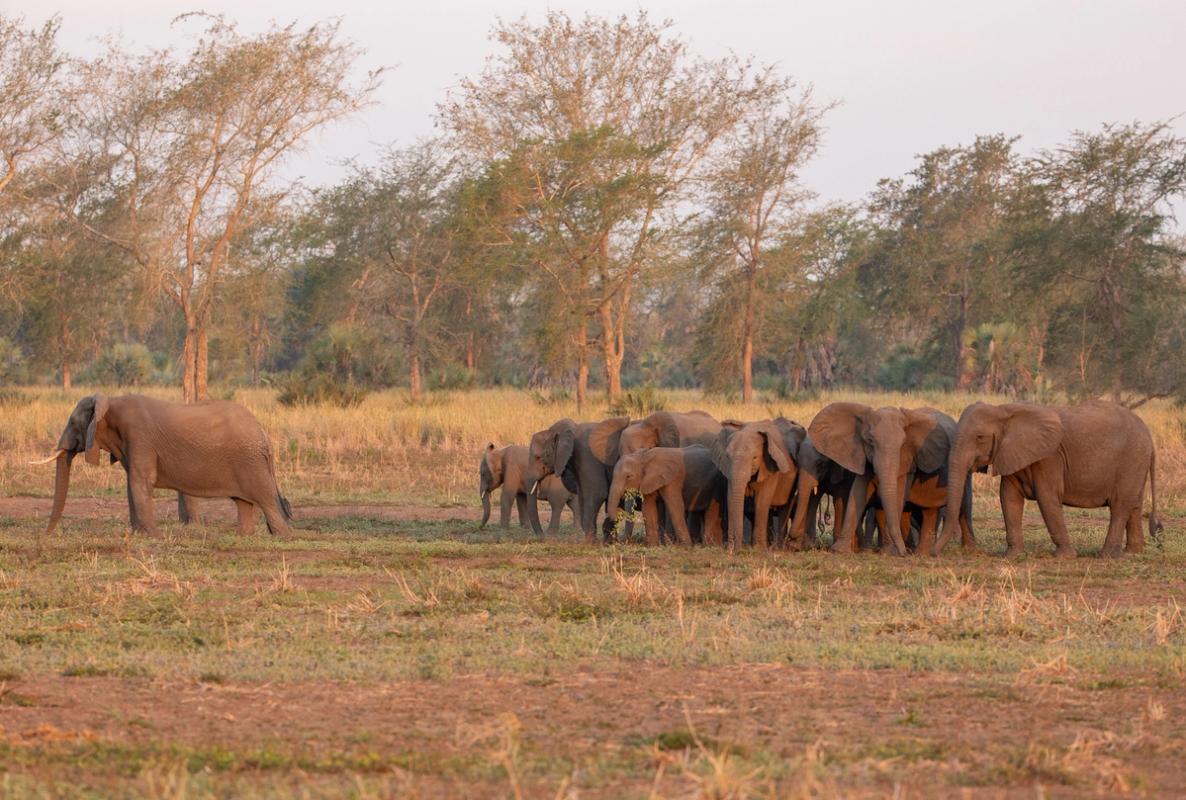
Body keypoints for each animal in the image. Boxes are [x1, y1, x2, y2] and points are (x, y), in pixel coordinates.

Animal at [34, 393, 292, 537]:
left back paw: (281, 537)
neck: (109, 401)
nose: (46, 536)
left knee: (266, 500)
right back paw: (242, 537)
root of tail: (263, 433)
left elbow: (140, 481)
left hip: (251, 462)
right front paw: (139, 534)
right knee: (244, 502)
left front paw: (153, 535)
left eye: (72, 422)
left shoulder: (140, 437)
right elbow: (132, 483)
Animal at [711, 418, 805, 550]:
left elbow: (761, 500)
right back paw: (770, 544)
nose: (735, 548)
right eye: (727, 457)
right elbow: (731, 499)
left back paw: (778, 548)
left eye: (755, 458)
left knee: (784, 508)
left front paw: (757, 549)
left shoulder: (770, 466)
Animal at [808, 403, 957, 556]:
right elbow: (858, 493)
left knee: (930, 510)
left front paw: (890, 552)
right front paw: (839, 551)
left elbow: (898, 495)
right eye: (870, 441)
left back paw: (919, 553)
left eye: (903, 443)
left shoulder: (908, 461)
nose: (903, 553)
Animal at [935, 400, 1162, 558]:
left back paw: (1106, 556)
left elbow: (1047, 498)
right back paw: (1133, 552)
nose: (933, 552)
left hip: (1132, 459)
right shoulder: (1011, 454)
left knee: (1120, 505)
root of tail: (1150, 437)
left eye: (979, 437)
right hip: (1136, 464)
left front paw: (1064, 557)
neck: (1004, 411)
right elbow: (1008, 498)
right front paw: (1012, 556)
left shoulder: (1049, 458)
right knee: (1134, 504)